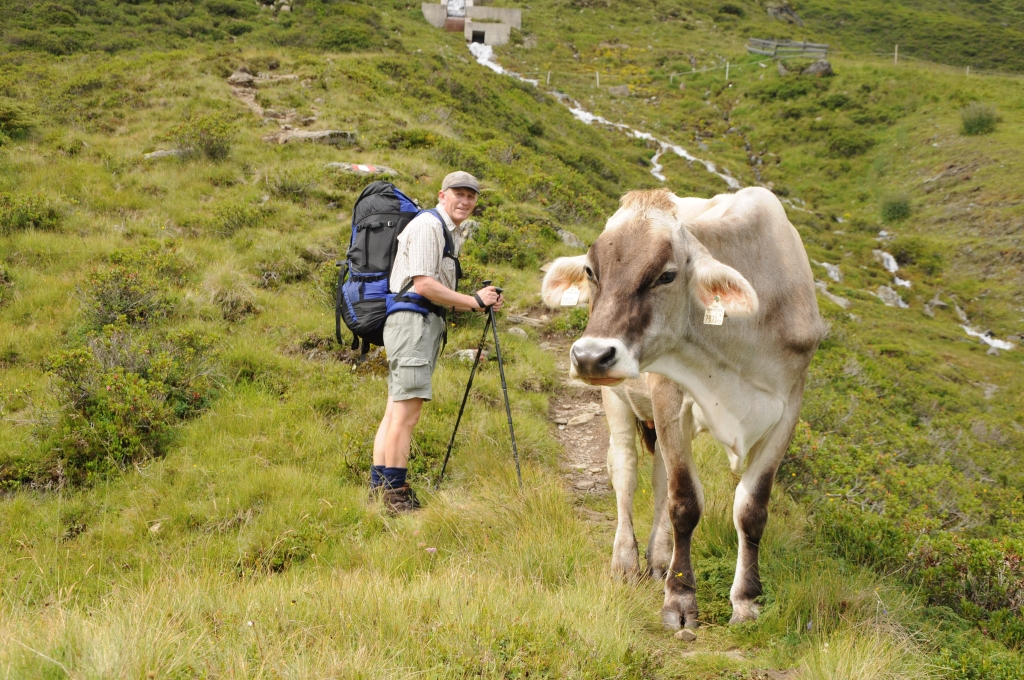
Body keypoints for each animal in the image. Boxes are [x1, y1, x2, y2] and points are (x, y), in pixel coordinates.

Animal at [544, 187, 823, 630]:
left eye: (667, 275)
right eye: (591, 270)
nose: (590, 356)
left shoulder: (790, 405)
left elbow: (752, 508)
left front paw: (747, 601)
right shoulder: (668, 393)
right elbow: (685, 501)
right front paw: (680, 600)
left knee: (659, 479)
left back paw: (659, 559)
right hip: (617, 396)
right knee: (625, 469)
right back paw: (626, 561)